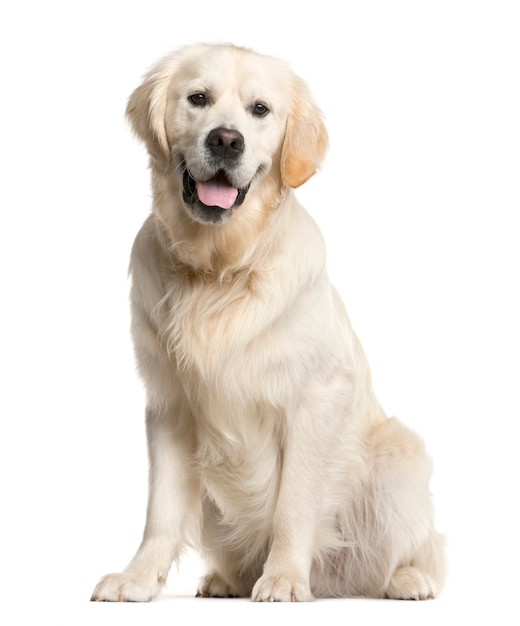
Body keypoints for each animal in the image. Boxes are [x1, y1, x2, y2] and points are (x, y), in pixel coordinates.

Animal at [91, 44, 444, 600]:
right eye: (198, 98)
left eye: (260, 109)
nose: (225, 140)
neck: (219, 271)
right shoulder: (168, 403)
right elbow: (160, 512)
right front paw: (138, 578)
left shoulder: (314, 399)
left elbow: (293, 505)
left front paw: (283, 578)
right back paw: (223, 580)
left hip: (399, 462)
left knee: (415, 552)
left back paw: (408, 579)